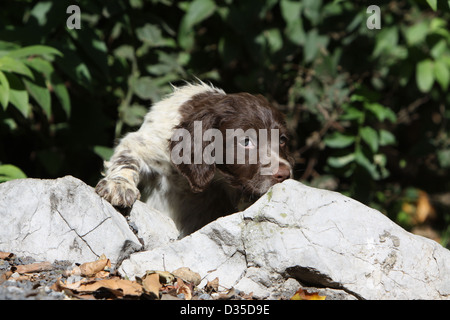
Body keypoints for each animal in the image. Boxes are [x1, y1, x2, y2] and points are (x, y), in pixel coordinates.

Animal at [95, 81, 294, 236]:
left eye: (282, 140)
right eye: (246, 141)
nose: (284, 174)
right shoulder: (147, 144)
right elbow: (127, 158)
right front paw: (118, 186)